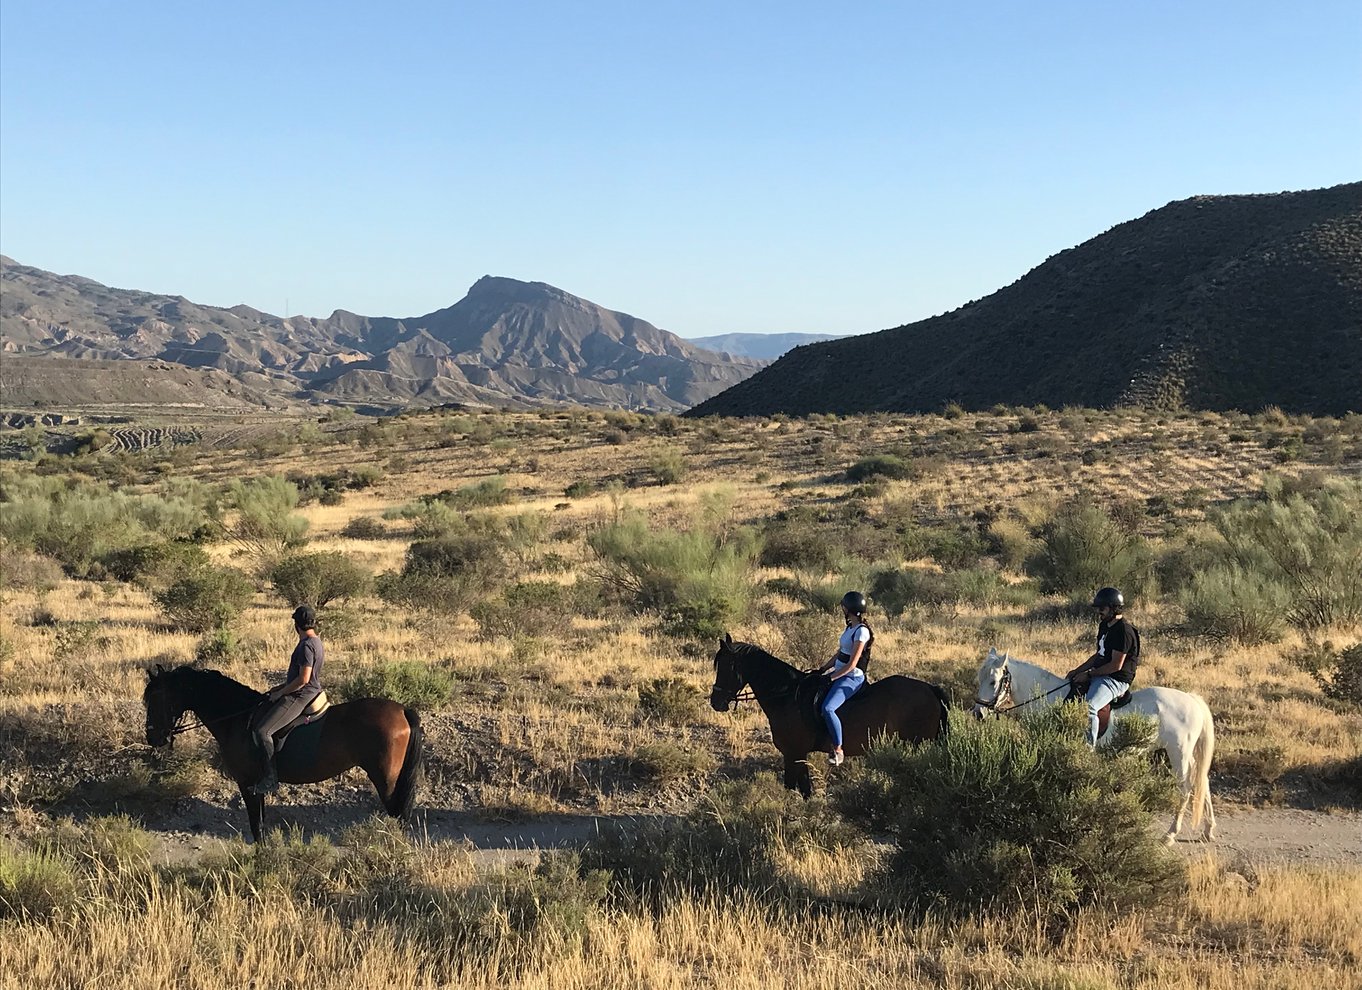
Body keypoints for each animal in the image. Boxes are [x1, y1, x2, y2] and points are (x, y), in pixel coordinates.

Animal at [145, 667, 422, 844]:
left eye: (156, 698)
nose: (152, 738)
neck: (237, 717)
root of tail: (402, 710)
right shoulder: (256, 785)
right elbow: (261, 823)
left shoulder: (246, 783)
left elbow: (256, 826)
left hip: (386, 781)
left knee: (399, 815)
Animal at [708, 634, 953, 795]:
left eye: (727, 667)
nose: (715, 702)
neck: (786, 695)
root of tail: (930, 689)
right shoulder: (794, 755)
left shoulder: (794, 753)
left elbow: (799, 790)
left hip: (918, 745)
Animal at [975, 645, 1220, 849]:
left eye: (993, 682)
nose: (978, 713)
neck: (1050, 698)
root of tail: (1192, 699)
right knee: (1203, 780)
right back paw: (1208, 830)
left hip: (1178, 752)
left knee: (1185, 788)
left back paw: (1170, 834)